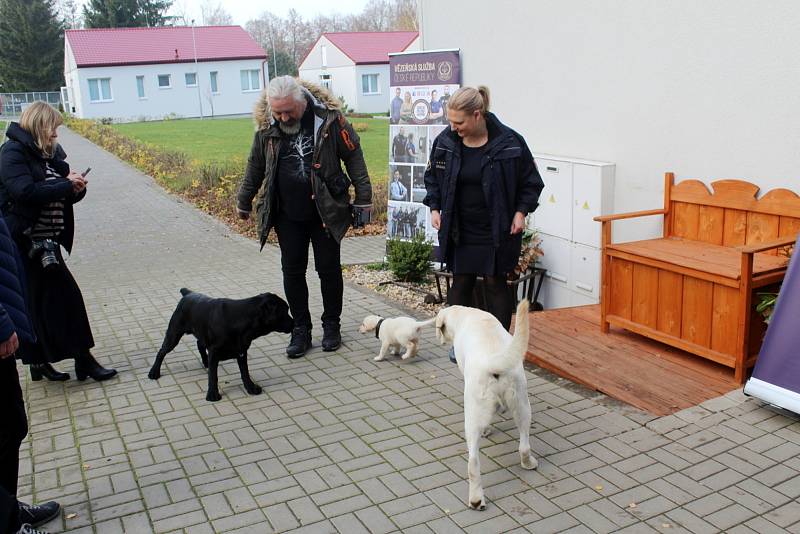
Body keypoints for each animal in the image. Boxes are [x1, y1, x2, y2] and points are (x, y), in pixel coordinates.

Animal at [434, 300, 540, 512]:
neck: (465, 314)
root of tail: (494, 362)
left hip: (472, 417)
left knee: (473, 462)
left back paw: (476, 499)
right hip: (523, 405)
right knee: (524, 446)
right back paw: (528, 463)